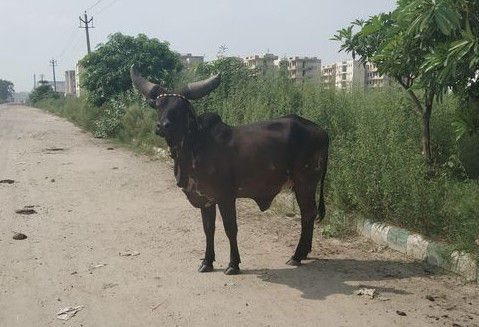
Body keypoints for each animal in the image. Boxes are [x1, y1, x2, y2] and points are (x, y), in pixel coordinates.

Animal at [130, 65, 330, 276]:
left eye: (180, 108)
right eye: (159, 106)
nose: (163, 126)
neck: (195, 146)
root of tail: (321, 130)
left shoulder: (226, 197)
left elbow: (230, 228)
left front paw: (233, 264)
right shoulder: (205, 199)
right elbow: (208, 229)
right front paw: (207, 261)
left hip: (305, 183)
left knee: (308, 214)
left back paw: (297, 255)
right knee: (308, 215)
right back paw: (304, 253)